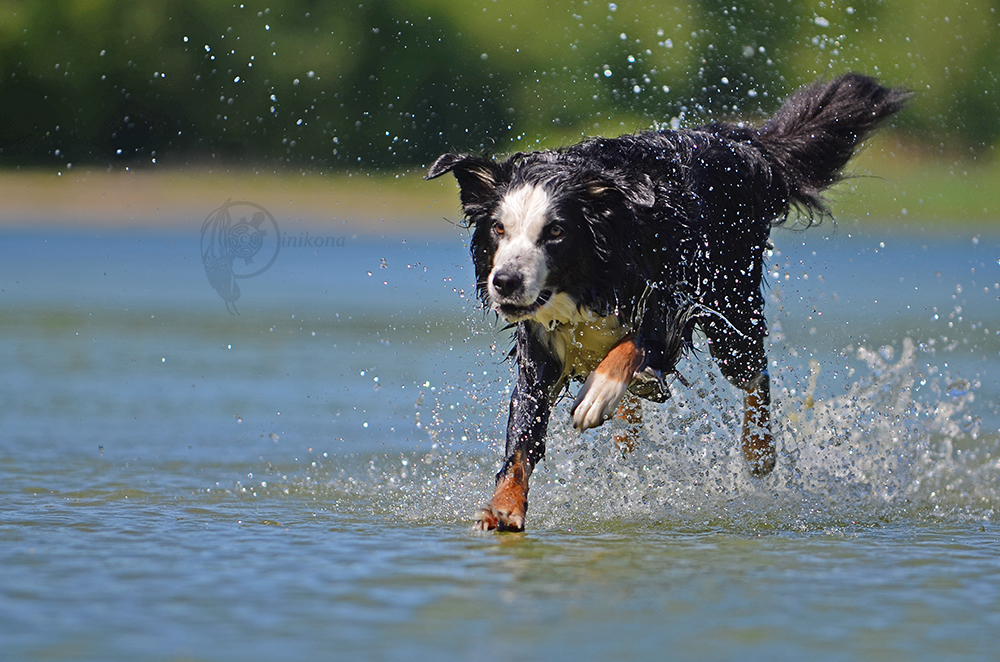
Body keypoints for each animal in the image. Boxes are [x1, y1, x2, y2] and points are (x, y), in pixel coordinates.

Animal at [426, 72, 912, 532]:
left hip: (731, 307)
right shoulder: (539, 353)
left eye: (556, 231)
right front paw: (504, 507)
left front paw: (600, 391)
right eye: (499, 229)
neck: (592, 277)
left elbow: (633, 346)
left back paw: (758, 451)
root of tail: (742, 144)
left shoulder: (671, 301)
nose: (505, 282)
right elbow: (521, 441)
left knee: (754, 373)